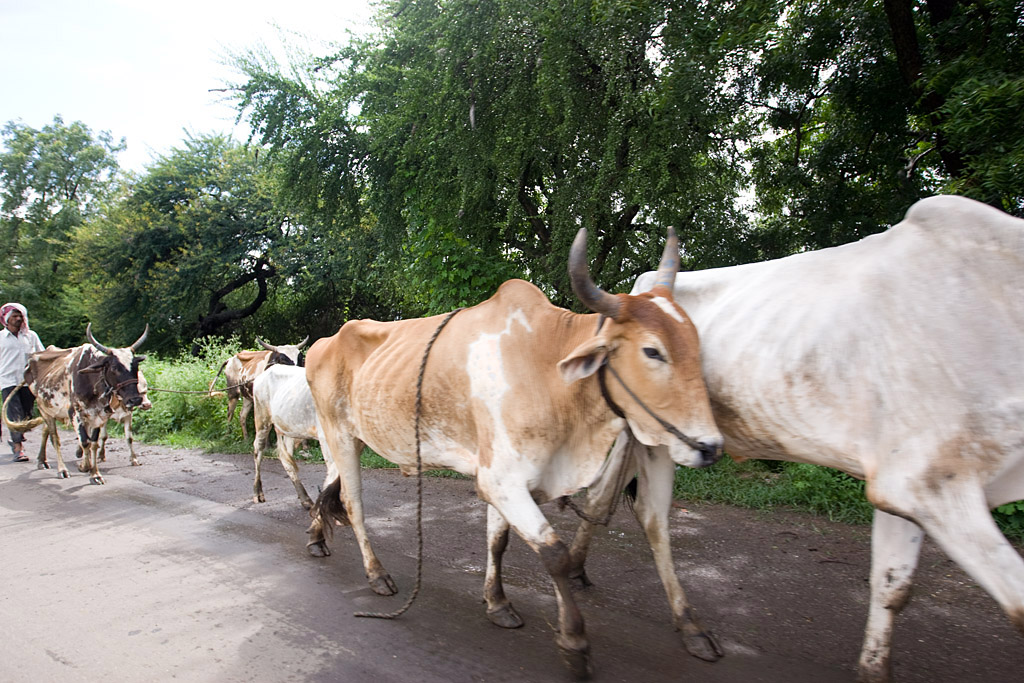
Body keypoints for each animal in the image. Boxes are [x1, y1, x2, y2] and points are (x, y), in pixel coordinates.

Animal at [3, 324, 149, 484]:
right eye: (114, 367)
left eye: (135, 366)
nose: (135, 400)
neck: (91, 381)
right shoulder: (75, 413)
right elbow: (85, 441)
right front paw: (85, 466)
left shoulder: (99, 415)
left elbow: (94, 443)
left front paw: (95, 473)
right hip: (44, 408)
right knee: (54, 438)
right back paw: (61, 469)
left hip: (52, 410)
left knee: (45, 432)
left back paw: (42, 460)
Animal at [252, 363, 333, 509]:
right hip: (262, 419)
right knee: (258, 451)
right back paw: (257, 493)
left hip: (288, 430)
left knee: (286, 460)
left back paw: (305, 499)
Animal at [304, 228, 724, 678]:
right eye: (652, 351)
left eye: (695, 343)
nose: (710, 447)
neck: (548, 369)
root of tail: (322, 344)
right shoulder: (501, 479)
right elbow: (555, 555)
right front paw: (574, 643)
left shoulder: (505, 477)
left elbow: (499, 541)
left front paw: (498, 603)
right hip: (340, 436)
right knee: (353, 503)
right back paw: (376, 574)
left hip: (346, 440)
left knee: (327, 487)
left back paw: (316, 540)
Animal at [568, 195, 1024, 683]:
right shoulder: (926, 485)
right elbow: (1015, 606)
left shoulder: (904, 487)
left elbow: (892, 586)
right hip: (658, 440)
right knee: (650, 516)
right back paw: (688, 624)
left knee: (603, 494)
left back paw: (577, 570)